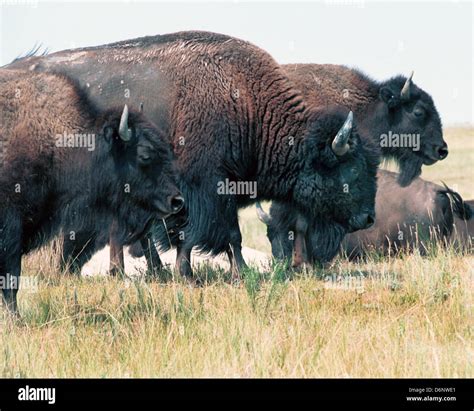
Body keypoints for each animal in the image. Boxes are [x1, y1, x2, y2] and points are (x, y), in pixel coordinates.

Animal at [5, 31, 380, 280]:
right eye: (352, 170)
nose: (368, 218)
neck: (246, 104)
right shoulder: (203, 189)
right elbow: (214, 233)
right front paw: (211, 273)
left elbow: (206, 234)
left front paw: (202, 271)